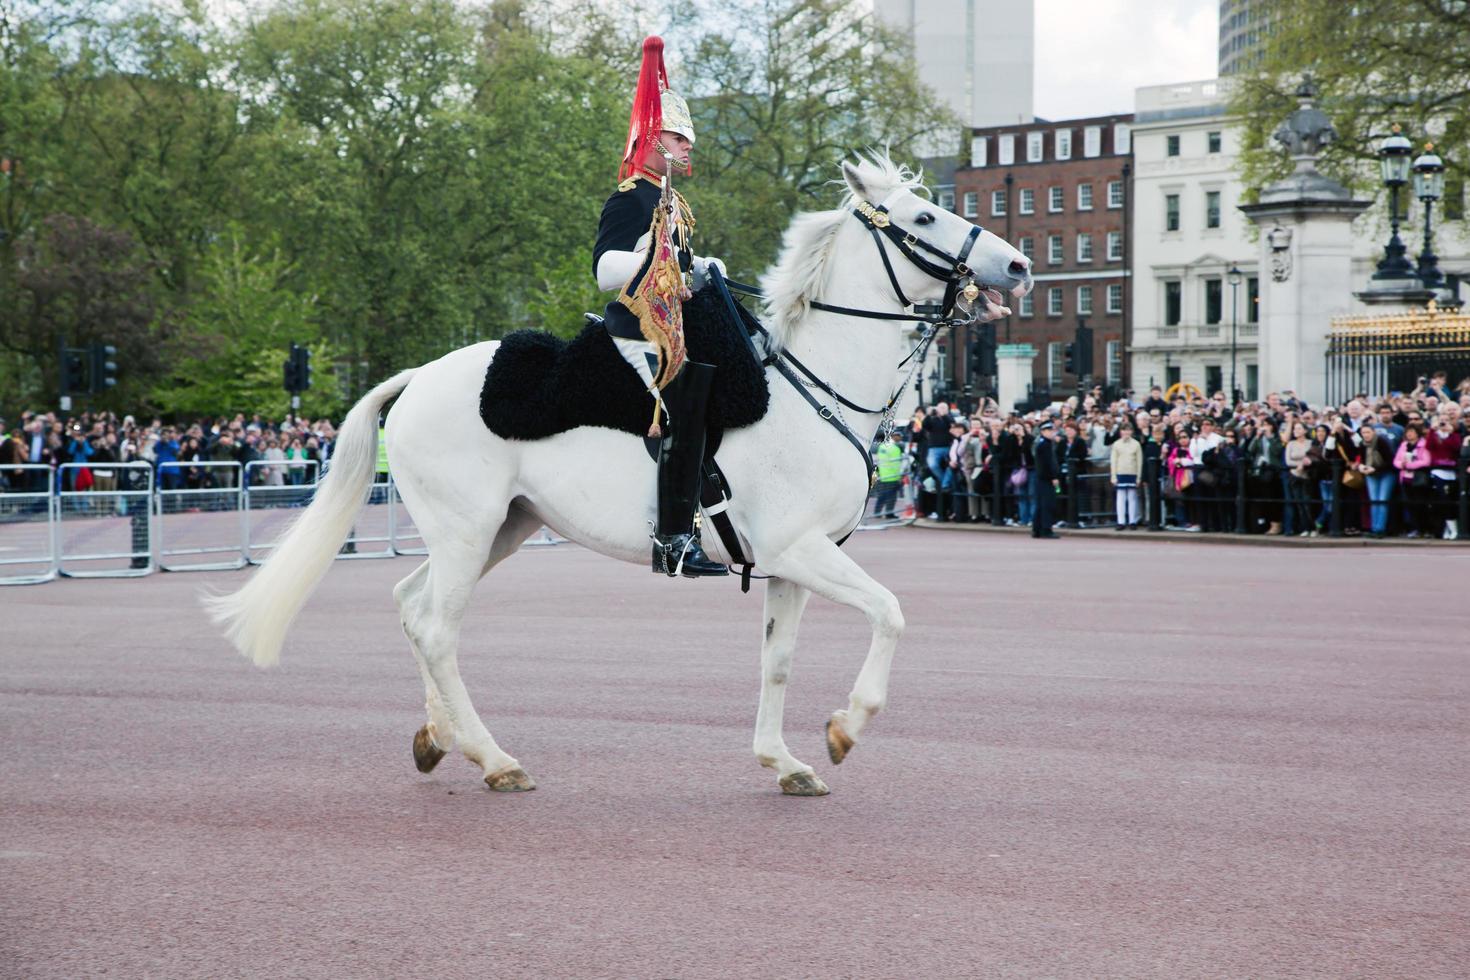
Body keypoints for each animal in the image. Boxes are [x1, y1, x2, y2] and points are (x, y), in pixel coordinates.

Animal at [207, 155, 1034, 799]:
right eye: (923, 216)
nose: (1019, 266)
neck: (814, 385)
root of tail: (416, 379)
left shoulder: (793, 563)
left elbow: (778, 661)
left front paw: (784, 760)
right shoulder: (800, 550)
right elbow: (890, 613)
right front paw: (846, 727)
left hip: (498, 529)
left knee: (414, 609)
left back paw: (438, 738)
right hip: (468, 532)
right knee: (438, 630)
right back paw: (494, 759)